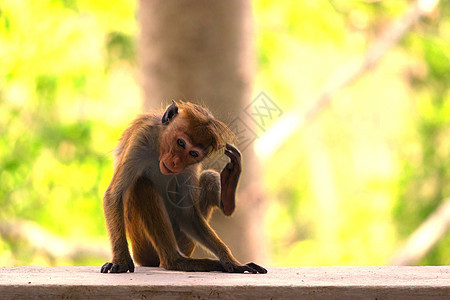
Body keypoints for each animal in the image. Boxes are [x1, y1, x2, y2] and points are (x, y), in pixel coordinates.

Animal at [100, 101, 266, 274]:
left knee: (208, 178)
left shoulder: (190, 166)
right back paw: (176, 261)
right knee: (142, 183)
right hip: (143, 246)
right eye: (180, 142)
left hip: (183, 241)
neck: (159, 147)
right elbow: (113, 195)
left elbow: (187, 214)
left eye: (193, 153)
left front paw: (230, 260)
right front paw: (121, 261)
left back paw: (228, 194)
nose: (175, 162)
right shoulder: (141, 139)